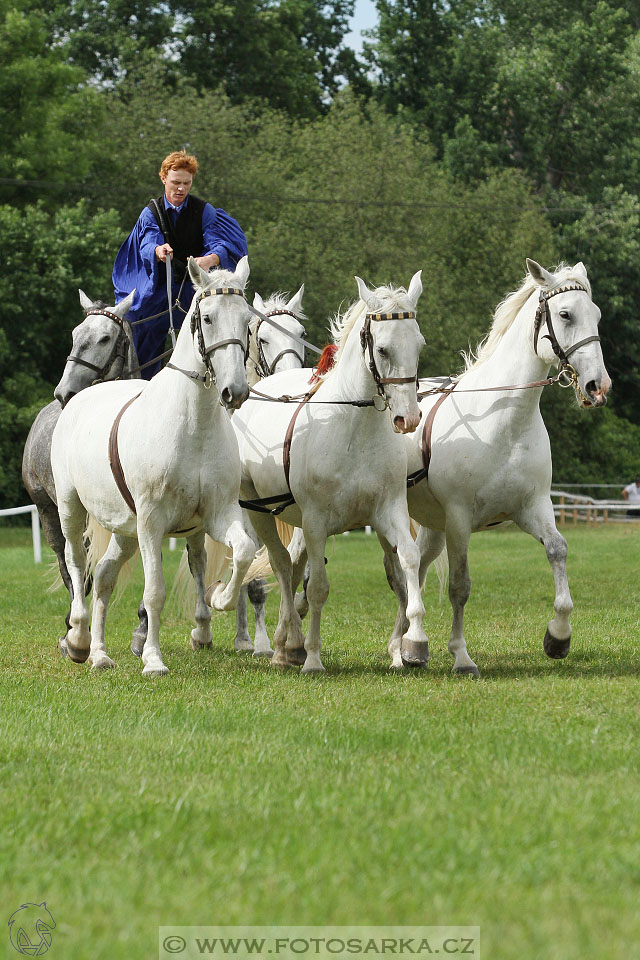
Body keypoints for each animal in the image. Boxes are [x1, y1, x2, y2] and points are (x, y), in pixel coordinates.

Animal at [51, 255, 258, 676]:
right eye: (207, 317)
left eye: (247, 320)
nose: (235, 391)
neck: (193, 424)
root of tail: (78, 398)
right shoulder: (151, 521)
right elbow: (154, 592)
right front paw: (153, 660)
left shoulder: (217, 514)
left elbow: (243, 551)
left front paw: (220, 599)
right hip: (71, 509)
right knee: (78, 565)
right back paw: (78, 640)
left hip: (125, 530)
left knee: (105, 576)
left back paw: (99, 654)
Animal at [232, 274, 428, 672]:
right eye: (382, 349)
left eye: (418, 344)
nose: (408, 419)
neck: (353, 428)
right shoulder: (316, 522)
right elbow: (318, 587)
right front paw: (312, 658)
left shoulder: (389, 512)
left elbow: (409, 560)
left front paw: (413, 644)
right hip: (259, 510)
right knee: (281, 565)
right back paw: (289, 645)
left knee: (294, 568)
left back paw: (287, 644)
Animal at [384, 256, 608, 676]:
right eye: (565, 314)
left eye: (597, 315)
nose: (597, 387)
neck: (505, 423)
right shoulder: (459, 519)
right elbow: (460, 586)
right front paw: (461, 656)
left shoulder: (533, 507)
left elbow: (558, 551)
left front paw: (558, 637)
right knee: (399, 576)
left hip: (432, 527)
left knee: (416, 570)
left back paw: (405, 644)